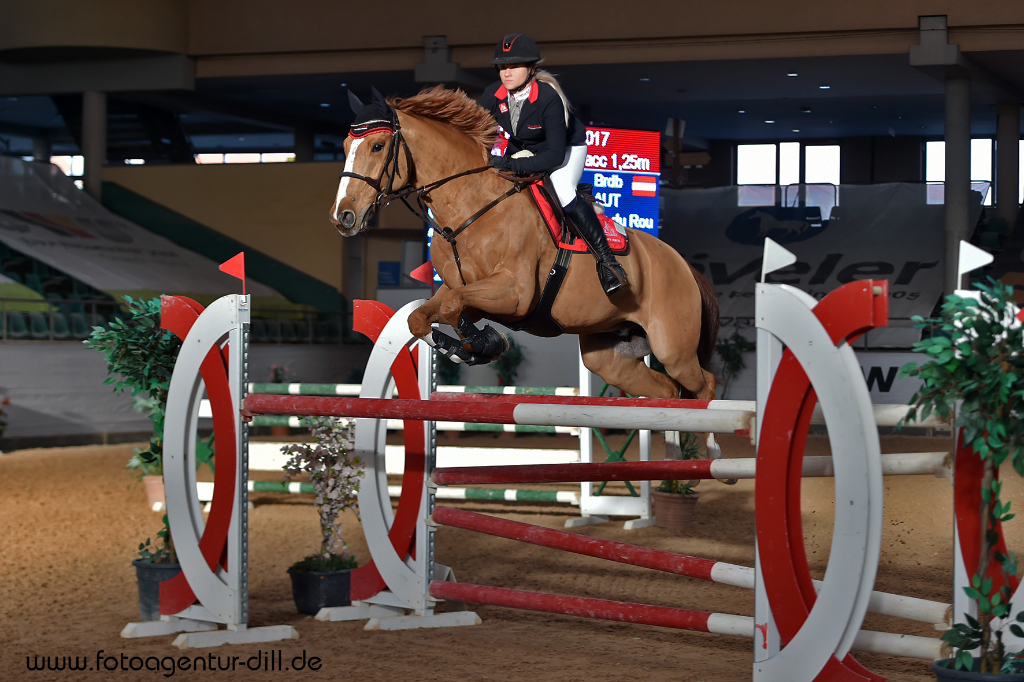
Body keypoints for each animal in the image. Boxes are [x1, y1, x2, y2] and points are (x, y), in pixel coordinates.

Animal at [327, 86, 720, 413]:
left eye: (378, 146)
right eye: (345, 147)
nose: (343, 216)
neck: (467, 210)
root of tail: (684, 265)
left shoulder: (515, 294)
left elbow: (454, 306)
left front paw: (485, 343)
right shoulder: (461, 289)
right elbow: (425, 315)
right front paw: (474, 346)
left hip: (673, 347)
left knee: (705, 385)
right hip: (611, 355)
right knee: (666, 390)